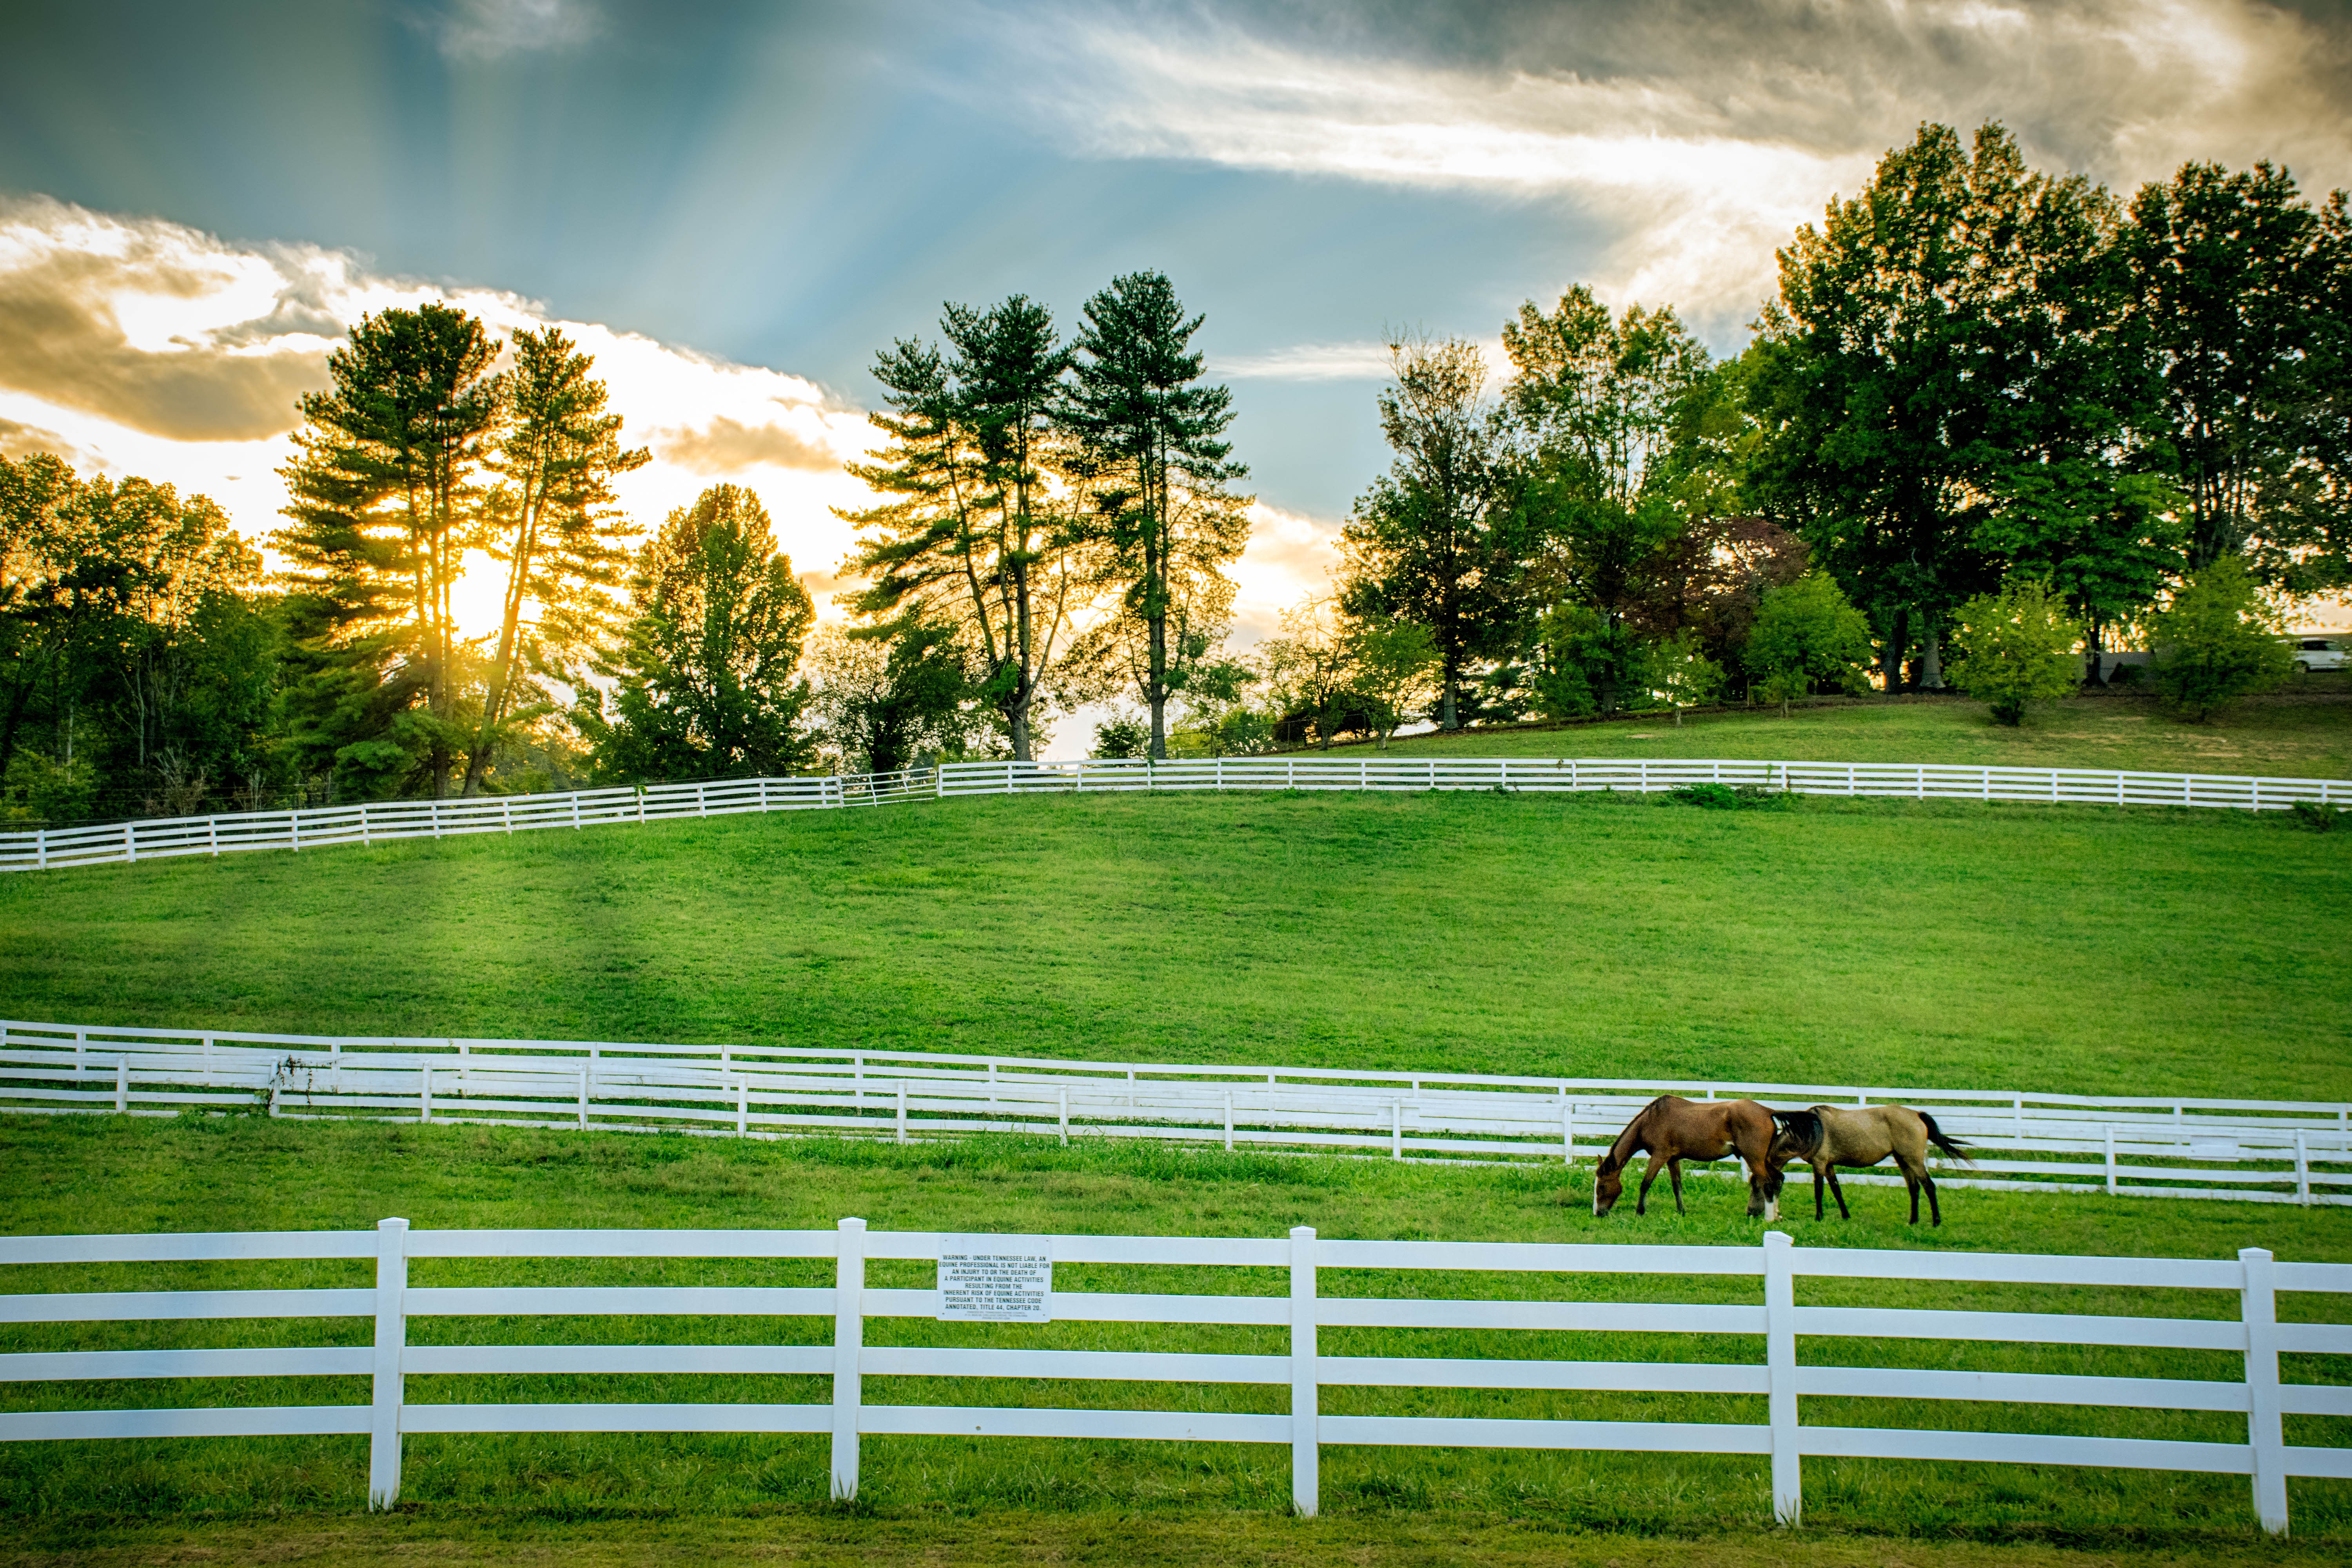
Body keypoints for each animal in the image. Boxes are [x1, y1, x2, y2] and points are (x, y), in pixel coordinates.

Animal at [1599, 1100, 1778, 1222]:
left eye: (1601, 1186)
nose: (1598, 1213)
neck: (1652, 1119)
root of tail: (1768, 1111)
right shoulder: (1672, 1160)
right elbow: (1677, 1187)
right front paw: (1682, 1212)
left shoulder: (1659, 1157)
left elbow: (1645, 1184)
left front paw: (1639, 1212)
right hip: (1765, 1161)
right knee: (1777, 1180)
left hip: (1755, 1160)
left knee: (1768, 1184)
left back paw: (1769, 1219)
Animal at [1769, 1105, 1976, 1222]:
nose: (1774, 1214)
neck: (1810, 1130)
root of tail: (1917, 1114)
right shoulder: (1828, 1165)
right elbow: (1837, 1189)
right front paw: (1846, 1216)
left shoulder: (1819, 1164)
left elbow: (1819, 1191)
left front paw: (1819, 1218)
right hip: (1903, 1160)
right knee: (1914, 1188)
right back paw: (1913, 1221)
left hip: (1914, 1160)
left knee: (1929, 1186)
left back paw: (1936, 1221)